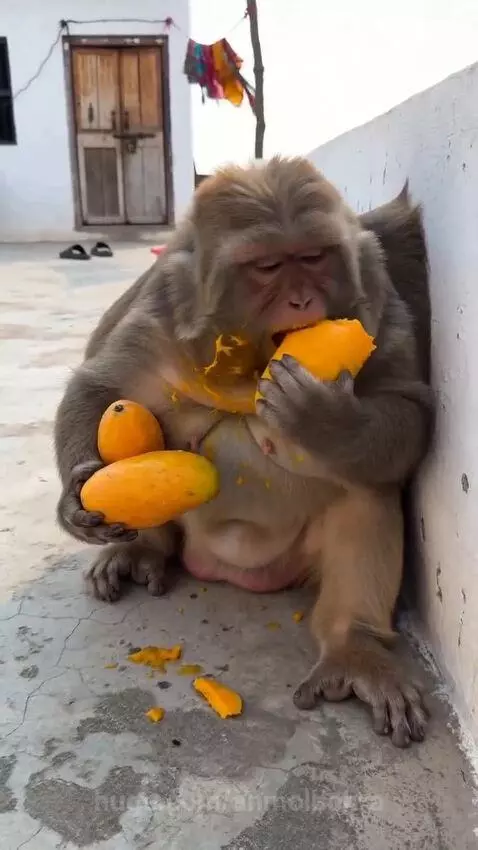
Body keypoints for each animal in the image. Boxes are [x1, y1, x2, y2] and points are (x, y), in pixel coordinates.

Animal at [54, 156, 433, 748]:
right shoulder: (162, 311)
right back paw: (142, 552)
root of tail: (234, 571)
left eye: (314, 257)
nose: (301, 299)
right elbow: (100, 387)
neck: (250, 370)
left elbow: (407, 411)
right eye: (268, 266)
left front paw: (325, 420)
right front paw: (75, 498)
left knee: (367, 488)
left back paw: (355, 645)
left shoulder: (378, 296)